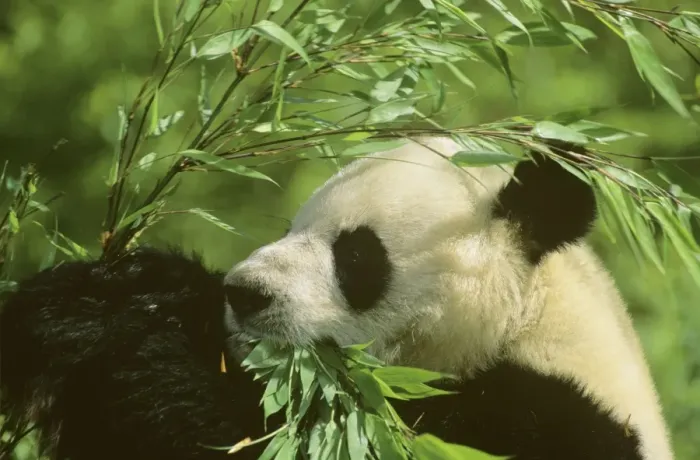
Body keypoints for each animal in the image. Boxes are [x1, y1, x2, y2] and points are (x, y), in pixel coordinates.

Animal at [0, 137, 673, 460]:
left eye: (356, 255)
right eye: (292, 226)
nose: (244, 293)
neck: (527, 320)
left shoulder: (540, 426)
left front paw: (139, 346)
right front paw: (110, 296)